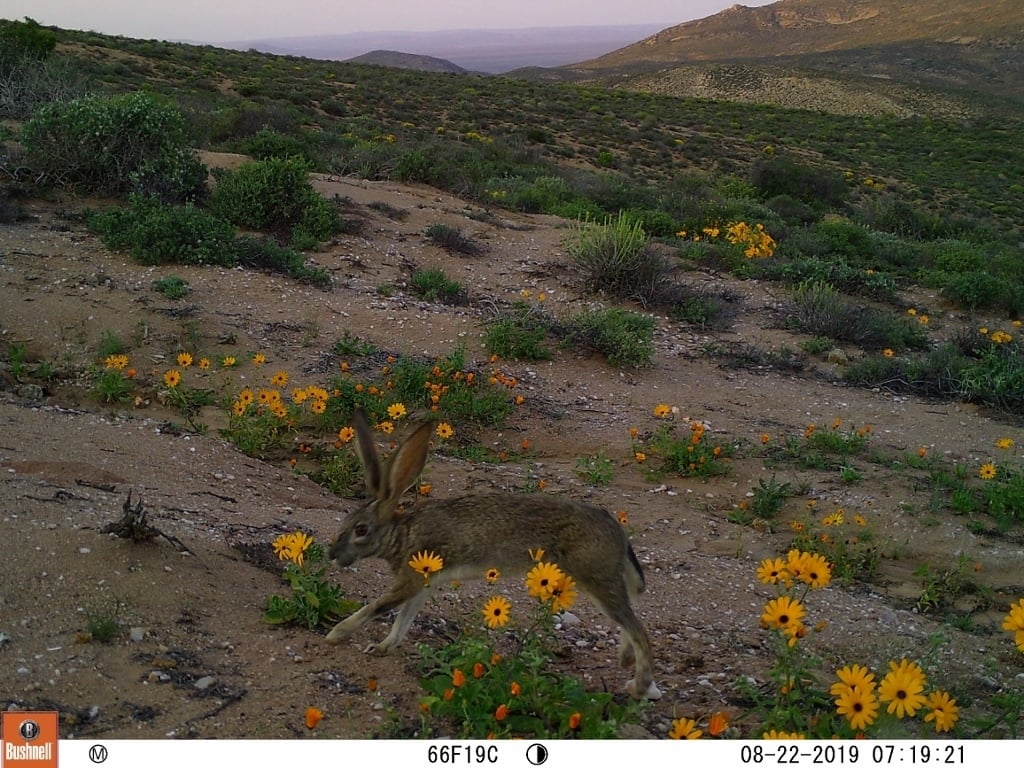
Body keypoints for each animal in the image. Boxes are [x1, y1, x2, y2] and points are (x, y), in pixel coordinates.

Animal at [325, 407, 662, 700]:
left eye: (360, 530)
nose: (332, 554)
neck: (400, 535)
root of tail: (618, 533)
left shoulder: (410, 580)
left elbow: (377, 607)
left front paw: (336, 634)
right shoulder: (422, 585)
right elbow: (403, 620)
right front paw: (382, 648)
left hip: (595, 576)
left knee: (638, 629)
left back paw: (639, 686)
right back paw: (625, 660)